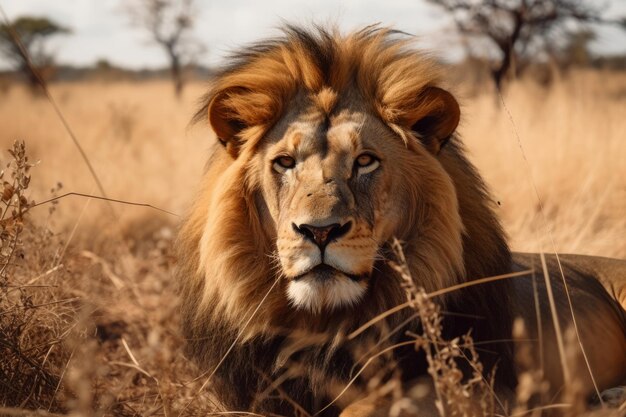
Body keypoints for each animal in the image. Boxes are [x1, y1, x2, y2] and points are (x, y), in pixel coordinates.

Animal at [177, 25, 624, 412]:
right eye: (285, 162)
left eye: (365, 161)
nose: (319, 231)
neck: (326, 324)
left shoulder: (488, 387)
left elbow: (369, 406)